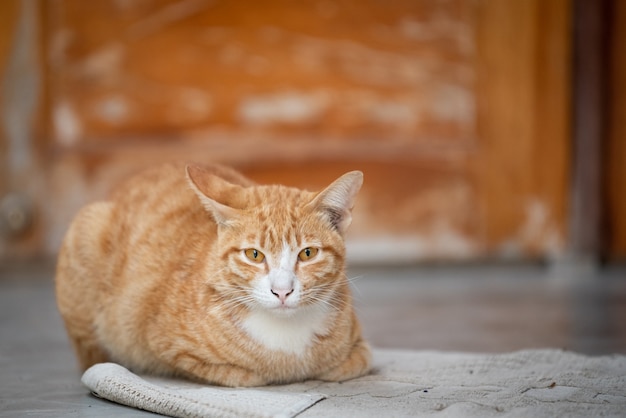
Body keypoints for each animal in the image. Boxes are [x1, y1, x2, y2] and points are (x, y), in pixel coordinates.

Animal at [54, 162, 370, 386]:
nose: (282, 291)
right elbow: (246, 375)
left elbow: (349, 364)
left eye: (307, 254)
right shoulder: (165, 346)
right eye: (254, 255)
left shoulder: (361, 351)